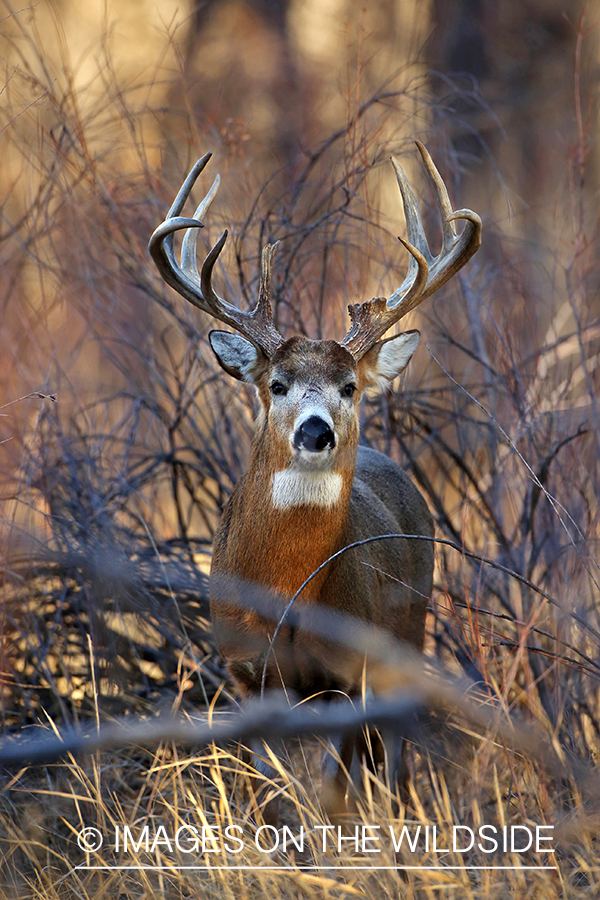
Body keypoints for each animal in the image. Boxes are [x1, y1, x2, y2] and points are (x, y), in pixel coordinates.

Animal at [150, 144, 482, 828]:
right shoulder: (244, 671)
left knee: (391, 755)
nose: (315, 430)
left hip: (408, 631)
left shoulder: (346, 673)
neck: (284, 594)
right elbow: (262, 789)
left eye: (349, 387)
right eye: (276, 384)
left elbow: (331, 785)